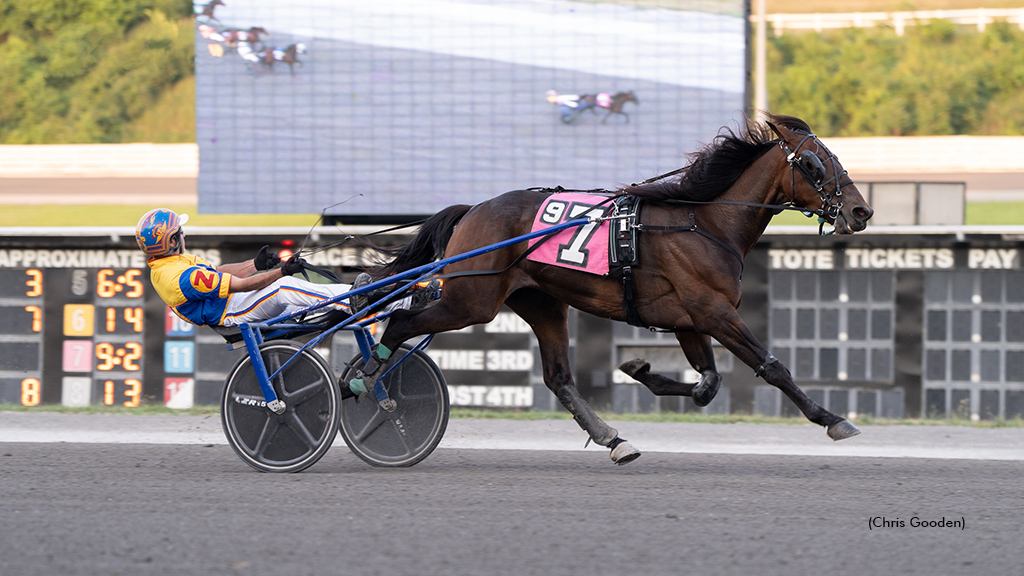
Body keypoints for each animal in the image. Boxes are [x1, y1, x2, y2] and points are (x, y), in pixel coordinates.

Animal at [350, 112, 872, 461]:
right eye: (814, 163)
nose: (860, 210)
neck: (703, 222)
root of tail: (475, 210)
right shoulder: (714, 311)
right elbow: (772, 367)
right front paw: (833, 420)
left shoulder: (689, 319)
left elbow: (708, 383)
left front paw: (640, 368)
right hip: (471, 299)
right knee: (400, 322)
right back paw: (366, 380)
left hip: (541, 303)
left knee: (558, 377)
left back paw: (614, 439)